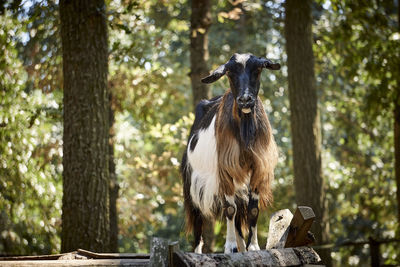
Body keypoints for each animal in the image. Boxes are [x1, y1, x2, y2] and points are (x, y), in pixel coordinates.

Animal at [182, 53, 280, 254]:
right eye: (229, 72)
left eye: (258, 69)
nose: (245, 100)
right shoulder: (225, 170)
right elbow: (229, 209)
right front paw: (229, 247)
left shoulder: (257, 168)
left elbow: (253, 210)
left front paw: (253, 246)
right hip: (192, 185)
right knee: (197, 218)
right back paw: (199, 252)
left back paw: (241, 247)